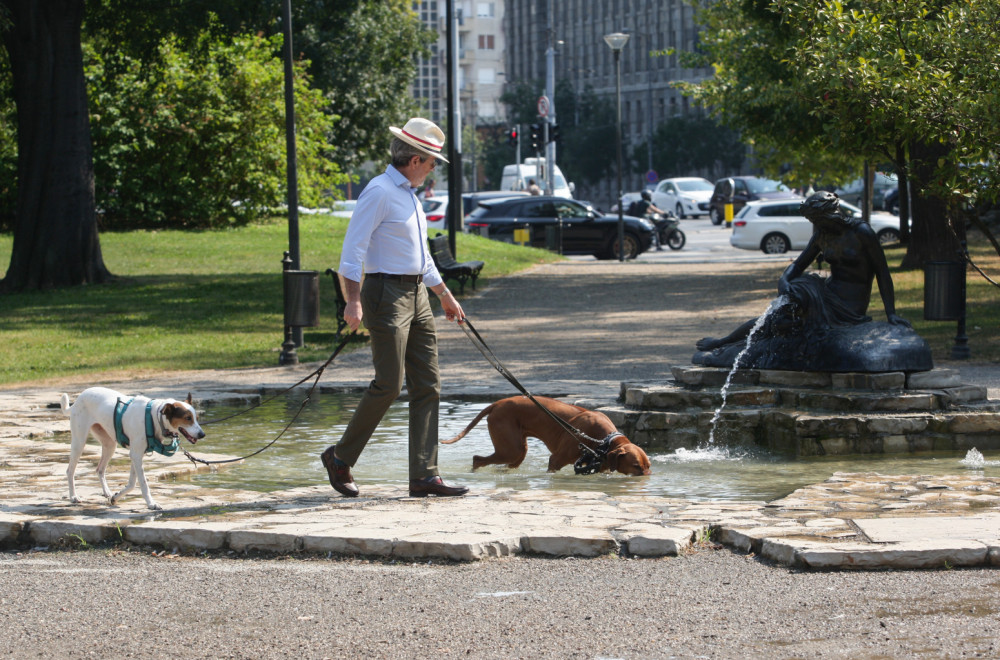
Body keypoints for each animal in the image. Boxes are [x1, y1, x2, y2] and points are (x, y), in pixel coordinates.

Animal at [60, 386, 205, 510]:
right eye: (188, 418)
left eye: (196, 418)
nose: (202, 434)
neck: (155, 416)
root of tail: (78, 399)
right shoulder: (136, 455)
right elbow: (143, 483)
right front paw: (151, 504)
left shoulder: (137, 455)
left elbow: (132, 483)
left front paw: (115, 497)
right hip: (79, 442)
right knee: (69, 471)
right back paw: (73, 496)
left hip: (109, 445)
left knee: (100, 469)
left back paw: (107, 492)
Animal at [442, 398, 652, 474]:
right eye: (636, 466)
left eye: (649, 466)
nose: (647, 478)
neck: (604, 440)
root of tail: (496, 403)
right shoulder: (556, 460)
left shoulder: (600, 464)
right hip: (510, 449)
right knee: (477, 459)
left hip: (518, 451)